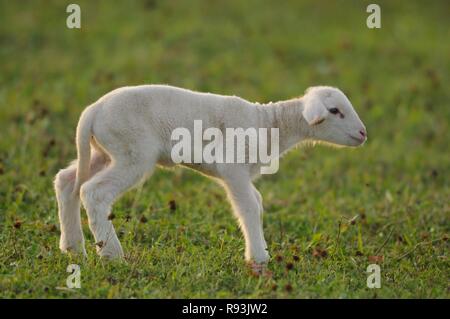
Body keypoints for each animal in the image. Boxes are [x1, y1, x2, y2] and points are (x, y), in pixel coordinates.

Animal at [54, 85, 368, 270]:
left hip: (105, 151)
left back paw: (73, 247)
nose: (363, 133)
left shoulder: (244, 174)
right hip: (132, 151)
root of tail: (93, 110)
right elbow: (248, 207)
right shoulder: (233, 169)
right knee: (93, 192)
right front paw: (259, 258)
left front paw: (260, 250)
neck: (270, 125)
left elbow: (257, 202)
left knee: (67, 181)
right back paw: (112, 254)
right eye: (335, 111)